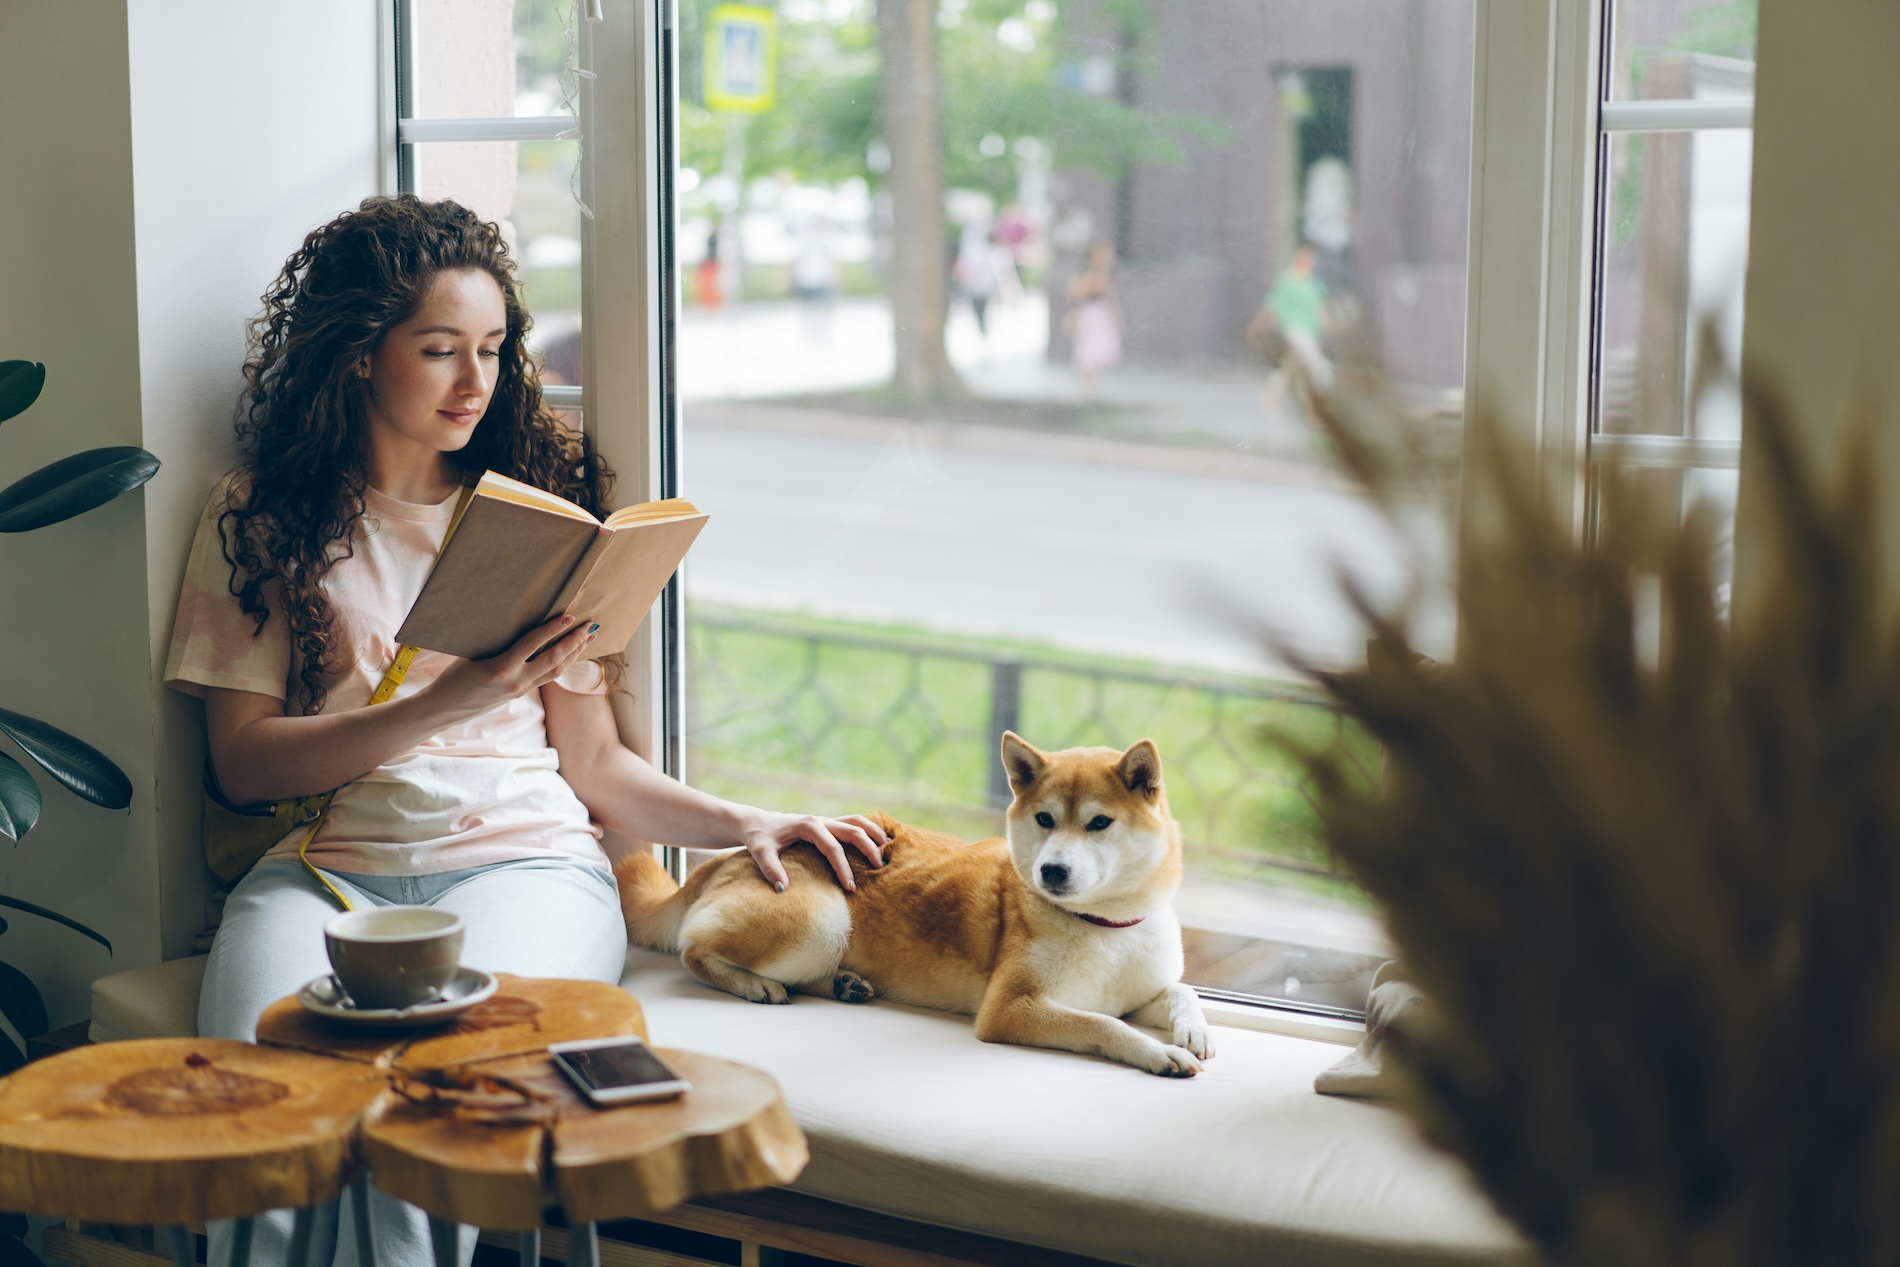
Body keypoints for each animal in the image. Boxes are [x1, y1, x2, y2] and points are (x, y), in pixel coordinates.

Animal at [623, 733, 1216, 1078]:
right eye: (1045, 819)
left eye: (1099, 823)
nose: (1051, 871)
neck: (1107, 926)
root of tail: (734, 854)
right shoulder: (1011, 1008)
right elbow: (1103, 1026)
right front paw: (1161, 1053)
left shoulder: (1141, 989)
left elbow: (1179, 991)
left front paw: (1194, 1031)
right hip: (822, 923)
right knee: (692, 951)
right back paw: (753, 984)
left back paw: (843, 984)